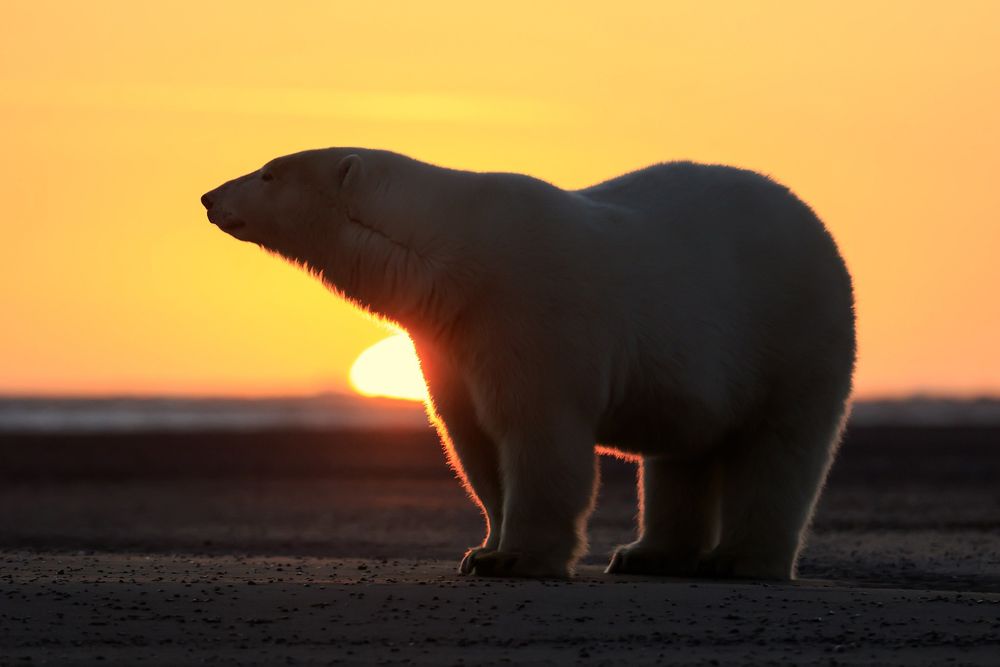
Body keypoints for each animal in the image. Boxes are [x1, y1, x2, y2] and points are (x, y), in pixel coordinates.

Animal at [201, 148, 856, 580]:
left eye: (267, 171)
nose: (208, 197)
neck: (454, 255)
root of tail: (816, 224)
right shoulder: (449, 336)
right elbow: (471, 439)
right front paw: (482, 549)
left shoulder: (529, 307)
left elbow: (537, 433)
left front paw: (518, 558)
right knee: (681, 453)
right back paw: (647, 554)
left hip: (792, 329)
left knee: (781, 447)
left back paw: (742, 559)